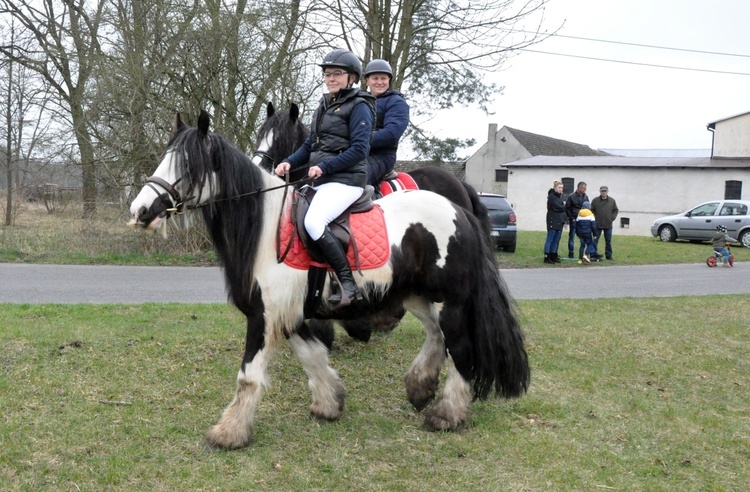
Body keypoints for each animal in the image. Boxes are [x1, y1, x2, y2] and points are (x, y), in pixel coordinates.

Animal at [129, 110, 528, 450]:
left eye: (187, 165)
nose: (140, 211)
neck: (266, 229)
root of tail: (458, 208)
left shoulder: (264, 317)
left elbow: (249, 376)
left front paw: (229, 433)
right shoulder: (289, 314)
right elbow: (313, 355)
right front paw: (329, 403)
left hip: (451, 300)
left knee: (459, 348)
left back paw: (447, 414)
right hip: (416, 295)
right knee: (436, 336)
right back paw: (419, 388)